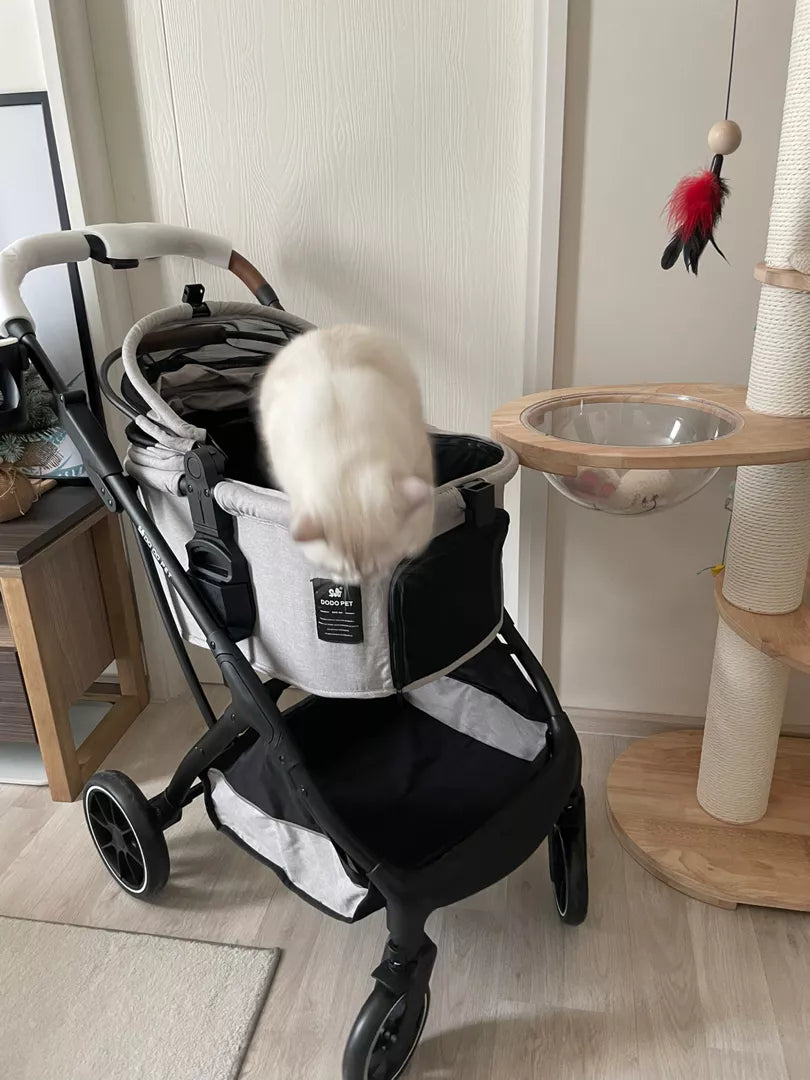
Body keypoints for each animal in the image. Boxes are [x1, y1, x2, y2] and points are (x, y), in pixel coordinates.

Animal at [260, 321, 438, 583]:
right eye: (343, 571)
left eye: (376, 567)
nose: (358, 582)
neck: (345, 463)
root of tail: (328, 330)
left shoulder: (420, 455)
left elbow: (423, 514)